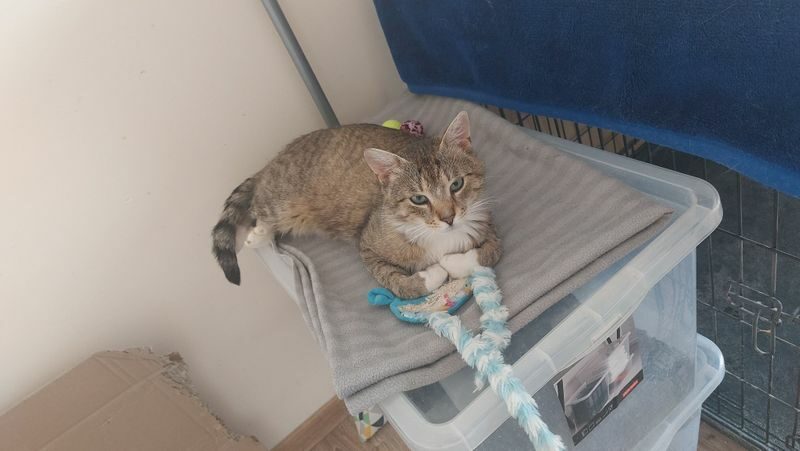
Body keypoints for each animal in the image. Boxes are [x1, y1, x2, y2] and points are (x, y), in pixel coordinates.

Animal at [212, 112, 501, 298]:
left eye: (456, 184)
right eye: (419, 198)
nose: (449, 218)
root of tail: (270, 164)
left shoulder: (486, 222)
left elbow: (490, 252)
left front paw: (454, 262)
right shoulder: (367, 246)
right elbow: (397, 283)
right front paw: (433, 273)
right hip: (282, 201)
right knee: (258, 208)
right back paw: (257, 235)